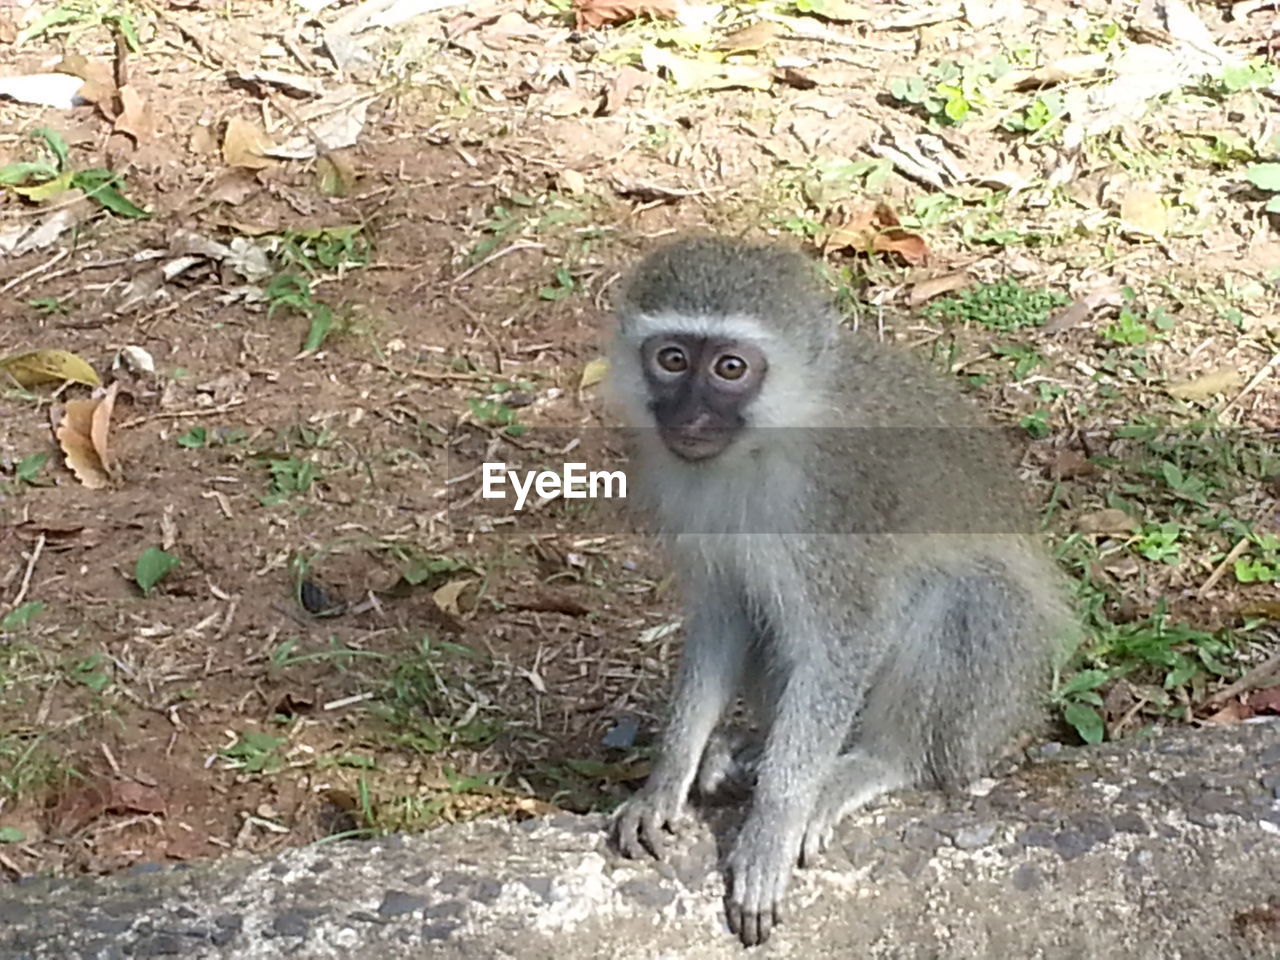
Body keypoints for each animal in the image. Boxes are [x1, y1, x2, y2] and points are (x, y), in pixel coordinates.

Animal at [604, 235, 1075, 947]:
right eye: (673, 359)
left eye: (731, 368)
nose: (690, 414)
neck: (761, 449)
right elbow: (725, 616)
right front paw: (666, 780)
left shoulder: (838, 501)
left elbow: (846, 642)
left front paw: (774, 824)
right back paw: (750, 750)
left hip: (992, 703)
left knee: (964, 598)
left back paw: (873, 762)